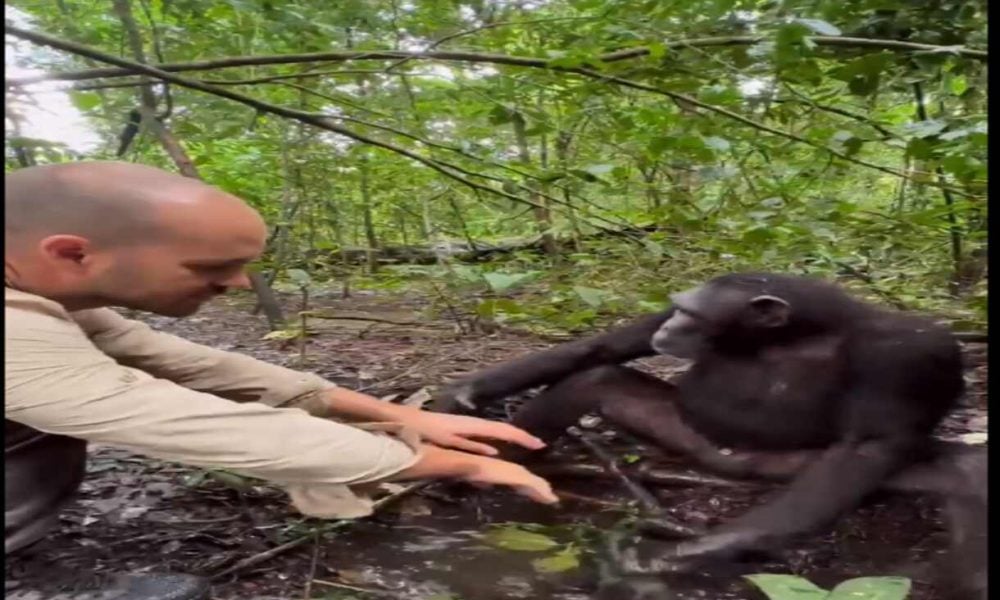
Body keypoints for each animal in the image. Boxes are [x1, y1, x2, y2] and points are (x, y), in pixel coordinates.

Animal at [438, 274, 984, 596]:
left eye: (693, 312)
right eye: (677, 307)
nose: (673, 323)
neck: (793, 335)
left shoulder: (910, 352)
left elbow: (865, 449)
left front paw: (655, 564)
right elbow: (603, 348)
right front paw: (460, 397)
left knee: (965, 474)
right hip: (686, 433)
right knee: (597, 380)